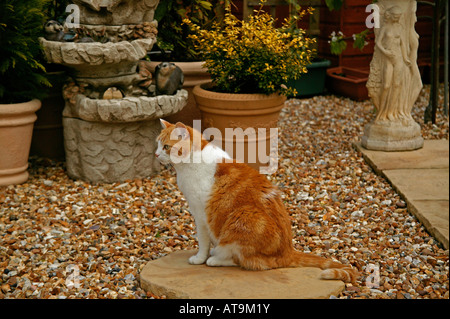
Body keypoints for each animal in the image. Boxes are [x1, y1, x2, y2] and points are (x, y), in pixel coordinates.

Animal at [155, 119, 358, 282]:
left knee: (246, 260)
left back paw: (216, 259)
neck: (191, 161)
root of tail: (288, 251)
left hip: (242, 217)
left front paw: (199, 258)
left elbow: (203, 242)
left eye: (165, 147)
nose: (156, 154)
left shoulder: (201, 215)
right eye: (157, 144)